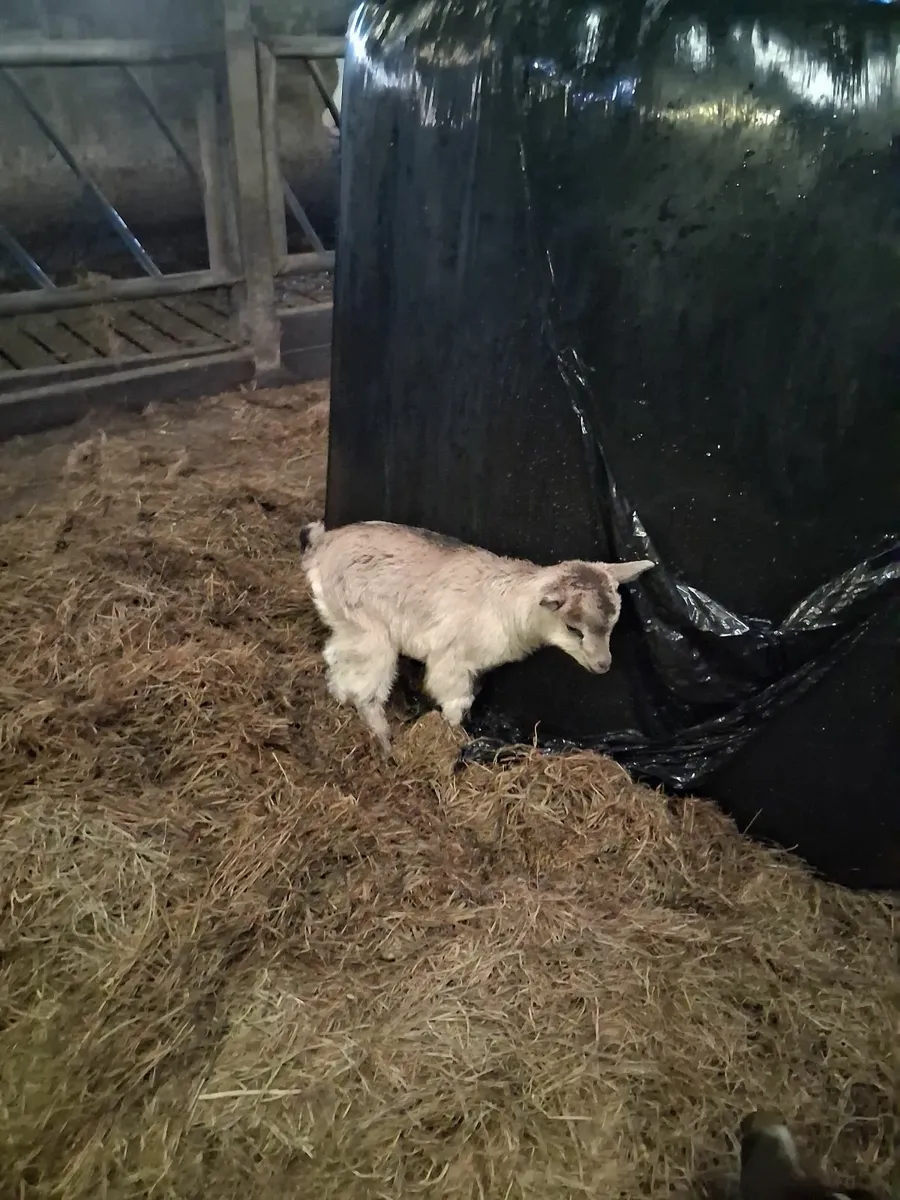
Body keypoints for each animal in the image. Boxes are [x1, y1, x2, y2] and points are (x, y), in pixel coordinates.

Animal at [298, 519, 654, 753]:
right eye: (573, 628)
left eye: (613, 623)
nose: (603, 665)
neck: (507, 608)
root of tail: (322, 545)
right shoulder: (451, 660)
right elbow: (456, 700)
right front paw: (452, 737)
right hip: (370, 628)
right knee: (366, 685)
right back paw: (384, 739)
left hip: (350, 623)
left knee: (337, 657)